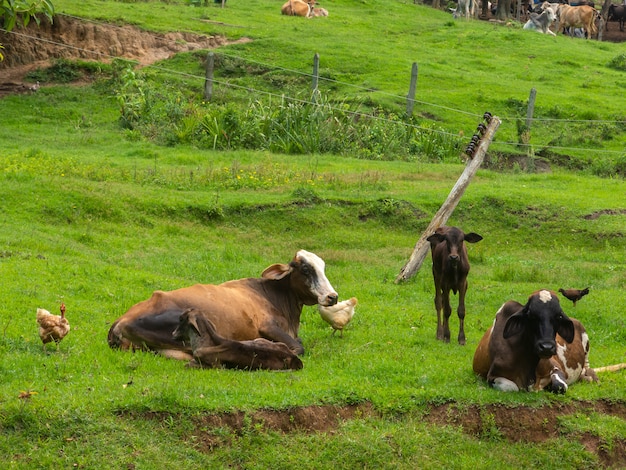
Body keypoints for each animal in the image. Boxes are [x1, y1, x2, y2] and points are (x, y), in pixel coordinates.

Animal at [109, 250, 338, 356]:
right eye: (306, 269)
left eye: (323, 268)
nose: (333, 296)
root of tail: (120, 322)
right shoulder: (267, 326)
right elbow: (298, 347)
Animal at [171, 308, 302, 370]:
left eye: (181, 319)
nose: (173, 333)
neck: (207, 342)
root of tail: (295, 359)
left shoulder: (217, 366)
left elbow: (188, 364)